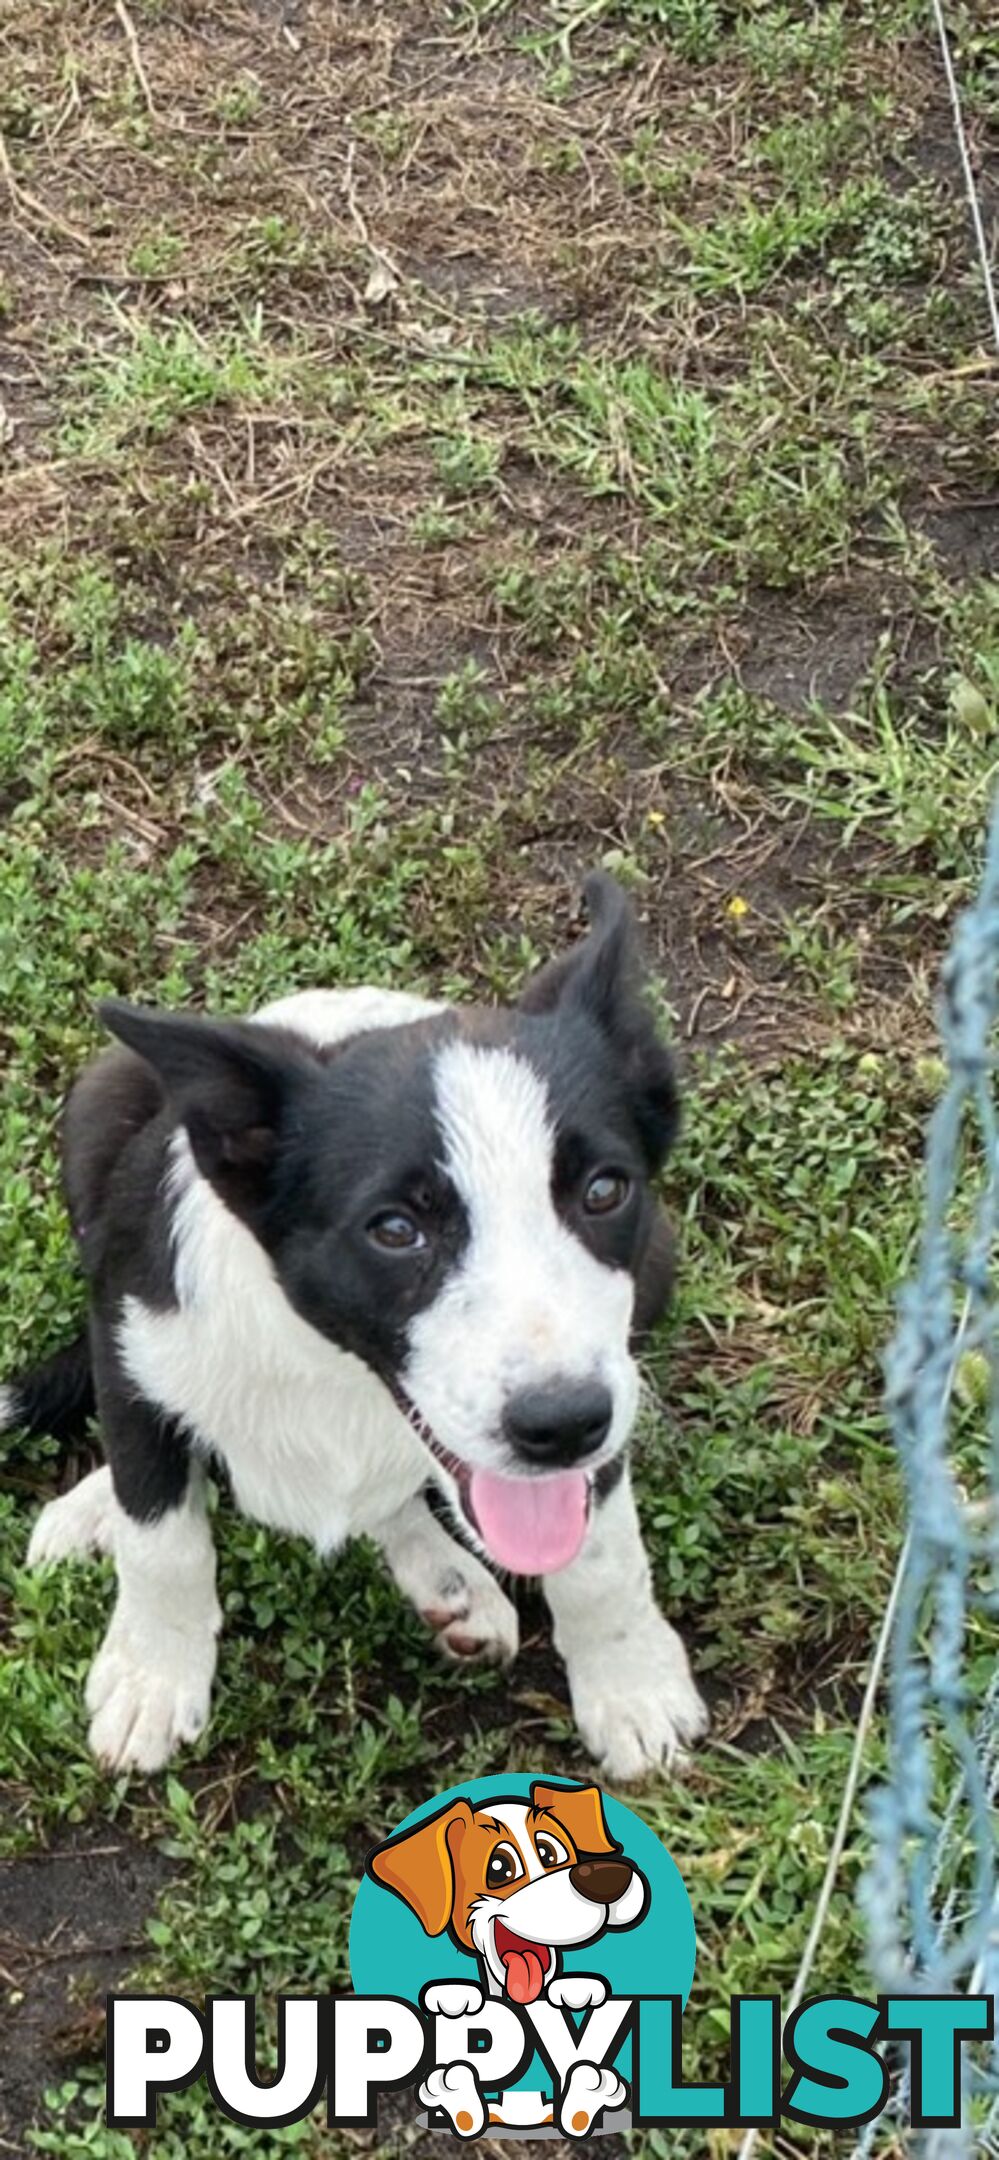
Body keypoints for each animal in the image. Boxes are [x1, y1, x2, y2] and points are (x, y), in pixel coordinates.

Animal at [0, 868, 704, 1779]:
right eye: (395, 1230)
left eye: (604, 1190)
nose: (561, 1425)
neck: (335, 1366)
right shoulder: (133, 1336)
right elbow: (161, 1530)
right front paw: (152, 1673)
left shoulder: (606, 1386)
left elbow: (602, 1551)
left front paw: (629, 1682)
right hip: (100, 1102)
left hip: (657, 1263)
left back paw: (451, 1583)